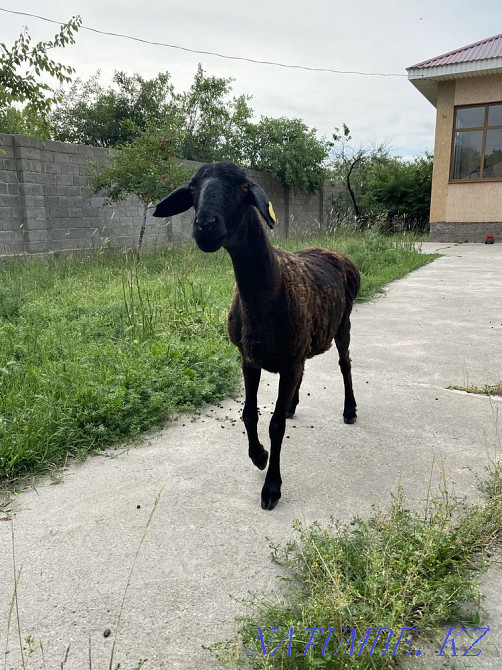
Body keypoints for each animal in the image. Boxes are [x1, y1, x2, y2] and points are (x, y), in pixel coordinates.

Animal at [153, 162, 360, 510]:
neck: (269, 289)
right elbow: (249, 415)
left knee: (345, 364)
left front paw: (272, 487)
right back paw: (292, 404)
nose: (205, 225)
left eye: (244, 187)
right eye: (192, 188)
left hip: (342, 324)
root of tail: (332, 251)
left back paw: (349, 410)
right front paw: (259, 456)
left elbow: (275, 426)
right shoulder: (249, 358)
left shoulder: (287, 362)